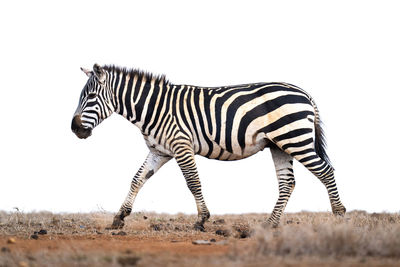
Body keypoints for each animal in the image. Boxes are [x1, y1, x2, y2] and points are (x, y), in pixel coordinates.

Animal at [72, 63, 346, 230]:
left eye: (91, 97)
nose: (75, 129)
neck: (153, 108)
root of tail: (304, 93)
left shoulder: (181, 145)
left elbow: (193, 182)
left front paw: (202, 220)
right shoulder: (159, 151)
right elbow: (137, 180)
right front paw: (119, 217)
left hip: (295, 138)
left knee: (325, 171)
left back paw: (339, 215)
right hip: (279, 144)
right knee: (288, 182)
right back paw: (270, 223)